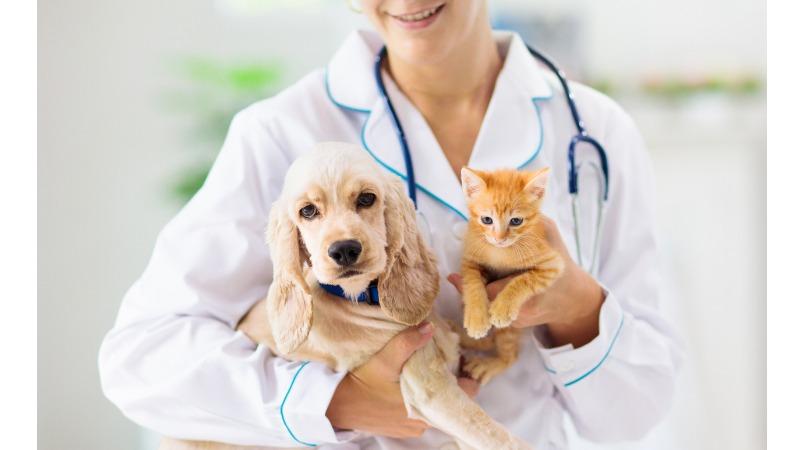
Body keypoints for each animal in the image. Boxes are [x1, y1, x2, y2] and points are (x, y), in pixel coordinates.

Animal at [161, 142, 532, 448]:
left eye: (366, 198)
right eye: (307, 211)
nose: (344, 250)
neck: (365, 299)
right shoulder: (429, 389)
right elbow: (500, 438)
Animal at [460, 167, 564, 384]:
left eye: (516, 221)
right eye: (486, 219)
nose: (500, 239)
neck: (501, 252)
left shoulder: (552, 264)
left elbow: (523, 280)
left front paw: (502, 308)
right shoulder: (470, 259)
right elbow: (472, 283)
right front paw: (477, 318)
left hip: (510, 331)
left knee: (510, 355)